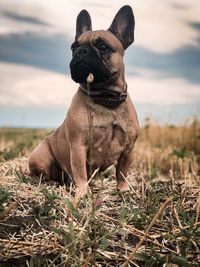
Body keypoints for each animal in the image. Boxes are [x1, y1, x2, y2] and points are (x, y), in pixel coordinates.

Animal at [28, 5, 139, 198]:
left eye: (103, 46)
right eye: (73, 47)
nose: (81, 52)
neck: (106, 99)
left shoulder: (128, 149)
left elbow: (122, 172)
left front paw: (124, 190)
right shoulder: (78, 146)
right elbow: (80, 171)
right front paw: (82, 193)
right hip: (41, 156)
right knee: (43, 175)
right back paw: (53, 184)